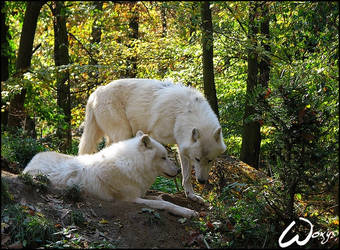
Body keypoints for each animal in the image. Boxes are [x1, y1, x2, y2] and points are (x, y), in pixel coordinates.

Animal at [23, 132, 198, 218]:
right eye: (163, 157)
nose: (178, 171)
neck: (132, 164)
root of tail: (30, 162)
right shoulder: (131, 199)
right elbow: (164, 204)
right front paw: (188, 212)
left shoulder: (140, 193)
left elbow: (160, 199)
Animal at [78, 79, 227, 204]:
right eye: (197, 159)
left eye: (210, 160)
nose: (201, 181)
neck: (183, 113)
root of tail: (96, 92)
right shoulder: (154, 135)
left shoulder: (181, 146)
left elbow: (186, 175)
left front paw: (191, 195)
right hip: (123, 133)